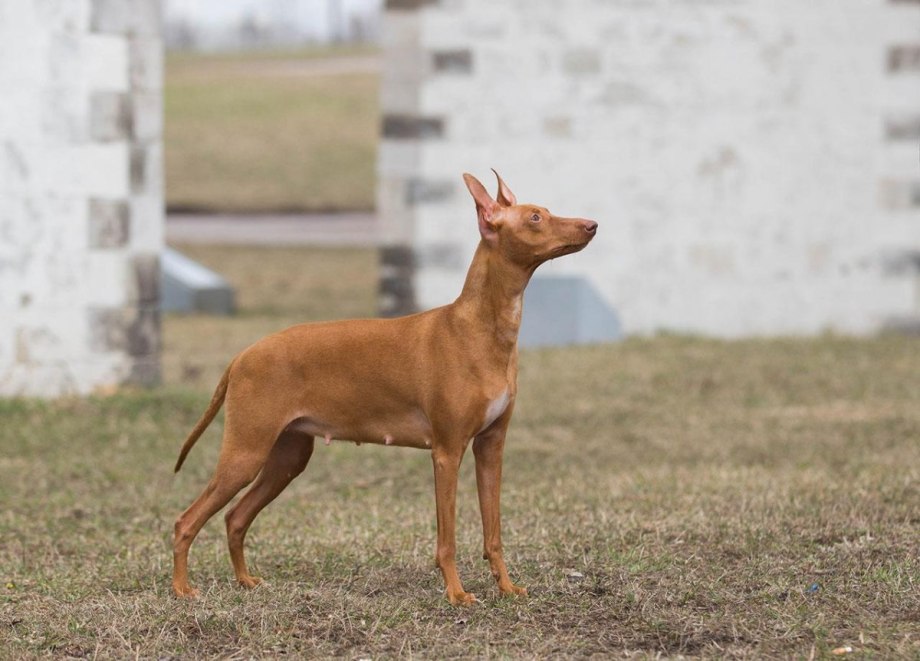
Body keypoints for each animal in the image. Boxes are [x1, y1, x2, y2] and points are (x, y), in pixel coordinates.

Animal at [172, 170, 596, 604]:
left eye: (544, 211)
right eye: (535, 218)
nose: (592, 225)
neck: (479, 327)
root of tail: (242, 354)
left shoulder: (490, 448)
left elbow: (493, 534)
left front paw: (507, 587)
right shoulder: (447, 453)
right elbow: (447, 540)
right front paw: (456, 593)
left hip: (286, 458)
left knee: (235, 517)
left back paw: (244, 580)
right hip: (245, 453)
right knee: (186, 521)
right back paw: (182, 588)